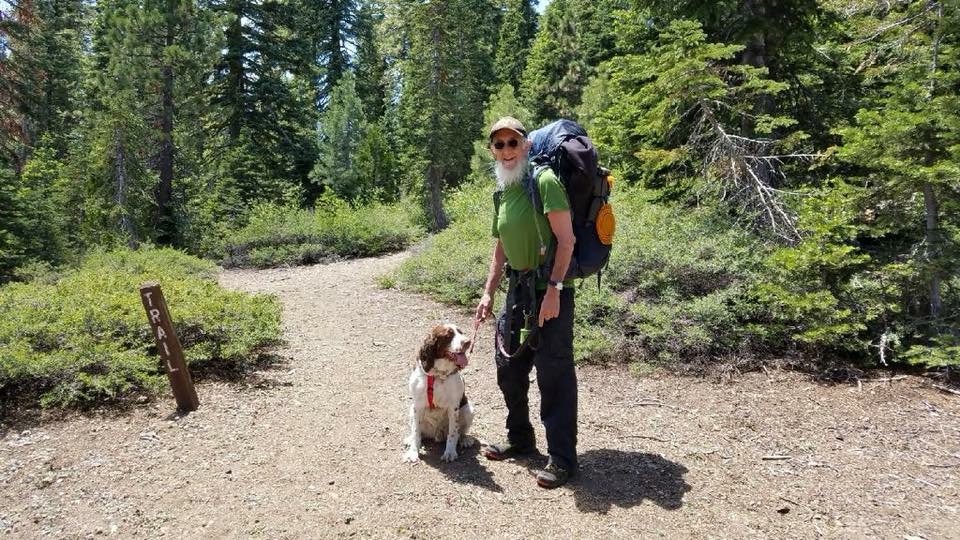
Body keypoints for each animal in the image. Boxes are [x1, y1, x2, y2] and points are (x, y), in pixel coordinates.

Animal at [403, 323, 476, 463]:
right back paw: (410, 439)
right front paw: (413, 452)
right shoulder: (417, 406)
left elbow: (453, 432)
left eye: (461, 332)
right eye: (448, 335)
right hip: (411, 410)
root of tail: (437, 434)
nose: (468, 342)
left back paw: (465, 440)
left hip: (469, 409)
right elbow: (416, 431)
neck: (438, 375)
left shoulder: (453, 407)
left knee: (460, 432)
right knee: (419, 433)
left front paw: (450, 453)